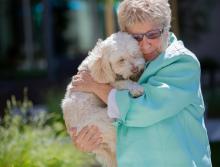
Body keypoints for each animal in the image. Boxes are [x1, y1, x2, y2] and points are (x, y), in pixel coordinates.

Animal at [61, 31, 145, 167]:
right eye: (121, 60)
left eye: (135, 53)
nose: (135, 69)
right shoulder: (108, 82)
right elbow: (123, 83)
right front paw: (136, 88)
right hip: (106, 121)